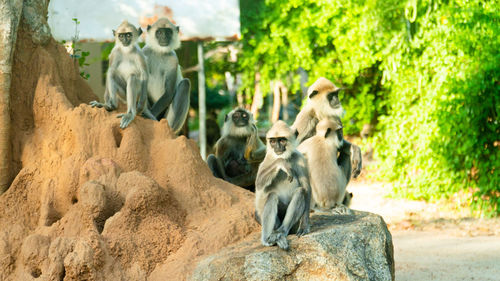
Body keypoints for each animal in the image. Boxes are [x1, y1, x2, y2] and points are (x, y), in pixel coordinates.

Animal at [256, 120, 310, 249]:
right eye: (273, 141)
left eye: (281, 140)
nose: (277, 147)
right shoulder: (268, 158)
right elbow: (259, 184)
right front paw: (282, 163)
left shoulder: (300, 158)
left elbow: (306, 188)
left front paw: (305, 225)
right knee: (272, 196)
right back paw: (268, 238)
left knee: (300, 191)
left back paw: (281, 232)